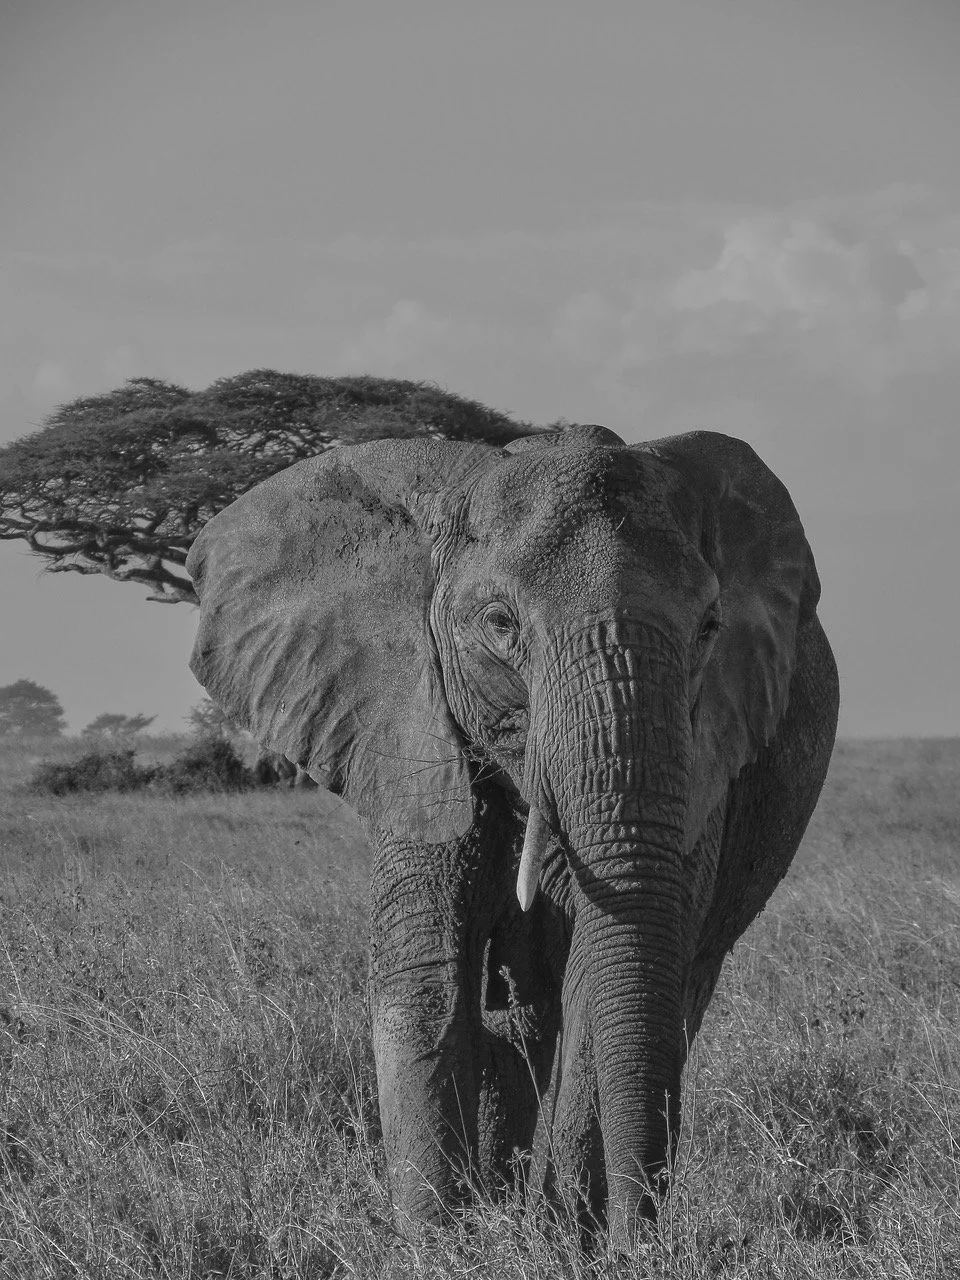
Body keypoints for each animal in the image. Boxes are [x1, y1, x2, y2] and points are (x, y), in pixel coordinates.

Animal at [185, 423, 839, 1247]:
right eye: (500, 624)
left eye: (710, 628)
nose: (644, 1244)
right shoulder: (410, 718)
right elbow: (425, 974)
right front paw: (440, 1245)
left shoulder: (704, 764)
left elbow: (601, 979)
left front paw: (562, 1244)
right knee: (523, 1019)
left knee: (662, 994)